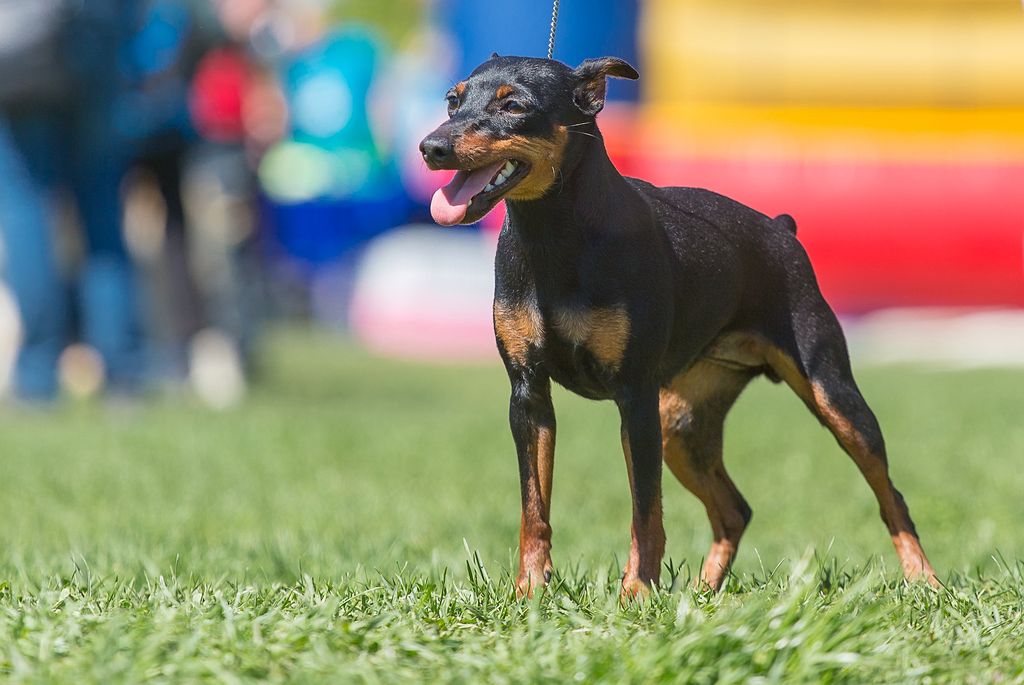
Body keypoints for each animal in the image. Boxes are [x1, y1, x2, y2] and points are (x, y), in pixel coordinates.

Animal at [417, 54, 937, 597]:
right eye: (452, 101)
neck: (557, 234)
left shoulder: (635, 395)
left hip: (832, 395)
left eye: (514, 105)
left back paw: (925, 581)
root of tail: (781, 229)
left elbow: (645, 511)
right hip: (683, 424)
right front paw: (530, 590)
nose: (432, 147)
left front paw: (636, 593)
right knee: (734, 510)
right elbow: (533, 507)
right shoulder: (529, 395)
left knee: (890, 495)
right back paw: (705, 592)